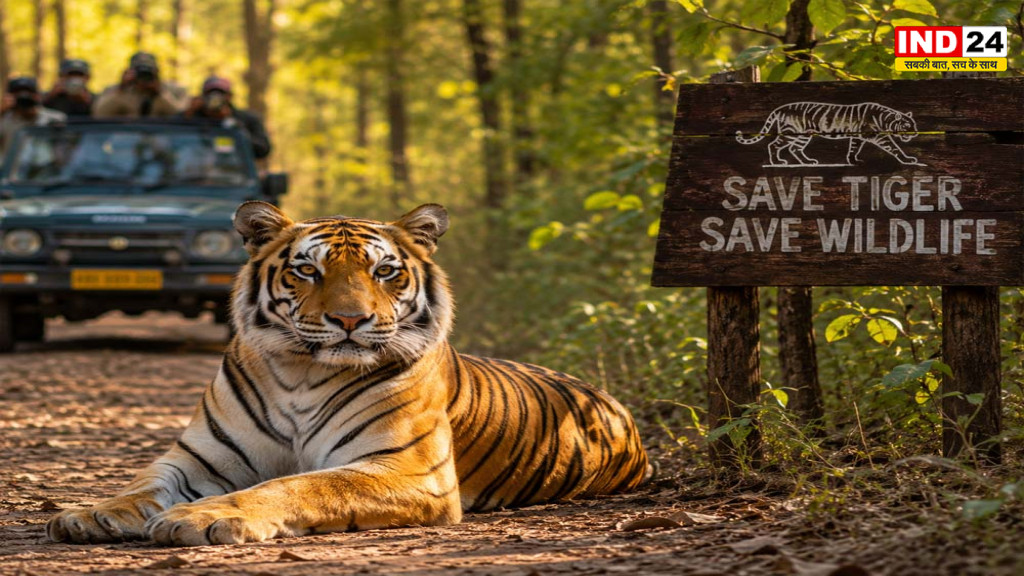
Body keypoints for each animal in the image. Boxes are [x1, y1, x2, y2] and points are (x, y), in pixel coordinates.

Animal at [47, 201, 651, 546]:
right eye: (307, 271)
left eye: (384, 272)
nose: (349, 320)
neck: (300, 374)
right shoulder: (199, 458)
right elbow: (143, 484)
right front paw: (89, 513)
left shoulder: (404, 468)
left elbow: (298, 484)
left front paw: (203, 517)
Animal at [735, 101, 922, 167]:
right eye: (908, 125)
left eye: (914, 124)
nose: (915, 133)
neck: (885, 118)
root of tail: (780, 108)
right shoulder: (878, 136)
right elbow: (894, 147)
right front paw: (907, 159)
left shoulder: (856, 137)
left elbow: (853, 149)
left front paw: (853, 161)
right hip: (793, 133)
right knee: (773, 145)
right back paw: (777, 162)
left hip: (803, 135)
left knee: (794, 149)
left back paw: (808, 162)